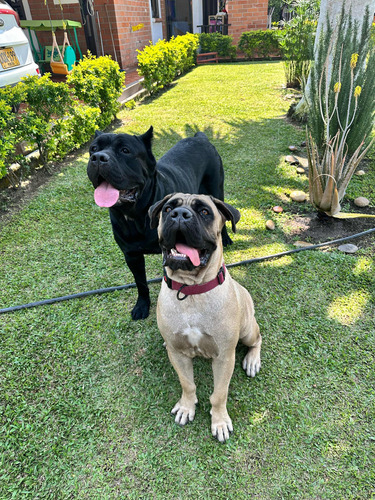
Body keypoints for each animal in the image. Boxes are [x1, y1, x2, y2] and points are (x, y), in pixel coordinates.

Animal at [88, 126, 232, 320]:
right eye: (93, 149)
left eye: (125, 150)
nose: (98, 157)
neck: (136, 215)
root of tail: (200, 137)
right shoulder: (131, 255)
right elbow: (140, 282)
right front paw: (142, 305)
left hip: (216, 187)